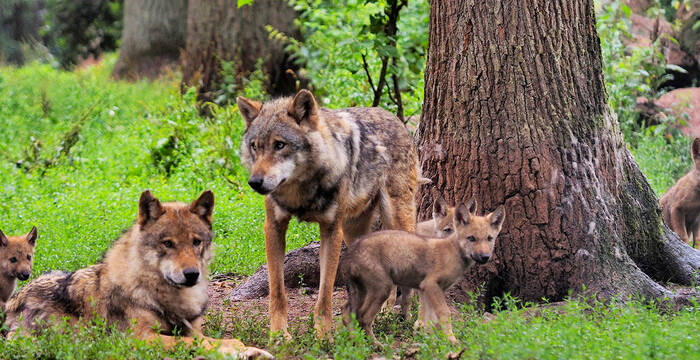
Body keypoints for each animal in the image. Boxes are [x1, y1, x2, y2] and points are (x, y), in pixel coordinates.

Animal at [6, 190, 274, 358]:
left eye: (196, 242)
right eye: (168, 243)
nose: (191, 274)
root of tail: (10, 304)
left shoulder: (192, 328)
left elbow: (213, 339)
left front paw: (253, 351)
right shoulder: (139, 338)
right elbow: (198, 343)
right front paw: (236, 350)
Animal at [238, 89, 418, 338]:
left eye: (280, 145)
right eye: (255, 146)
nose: (254, 182)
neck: (300, 191)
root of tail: (393, 117)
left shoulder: (332, 230)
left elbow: (325, 293)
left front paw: (323, 335)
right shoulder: (273, 227)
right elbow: (277, 291)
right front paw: (279, 334)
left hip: (396, 218)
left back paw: (413, 320)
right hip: (354, 232)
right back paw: (378, 316)